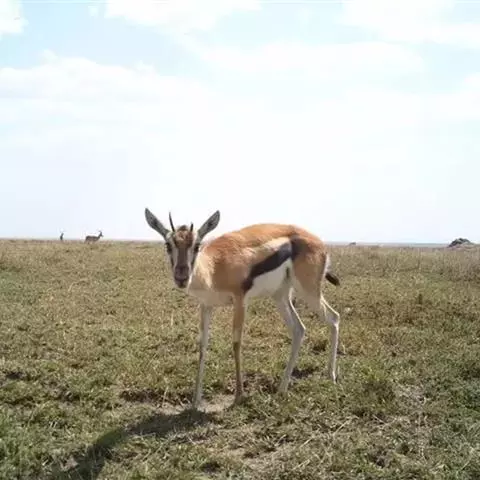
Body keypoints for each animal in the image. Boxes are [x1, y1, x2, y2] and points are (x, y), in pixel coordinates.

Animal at [144, 208, 341, 410]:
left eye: (197, 245)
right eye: (168, 245)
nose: (182, 277)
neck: (213, 268)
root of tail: (319, 243)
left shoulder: (240, 302)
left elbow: (236, 344)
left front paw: (239, 396)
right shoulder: (206, 306)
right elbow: (202, 346)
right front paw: (195, 400)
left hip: (308, 291)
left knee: (334, 317)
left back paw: (330, 376)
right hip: (280, 296)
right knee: (299, 329)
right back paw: (282, 388)